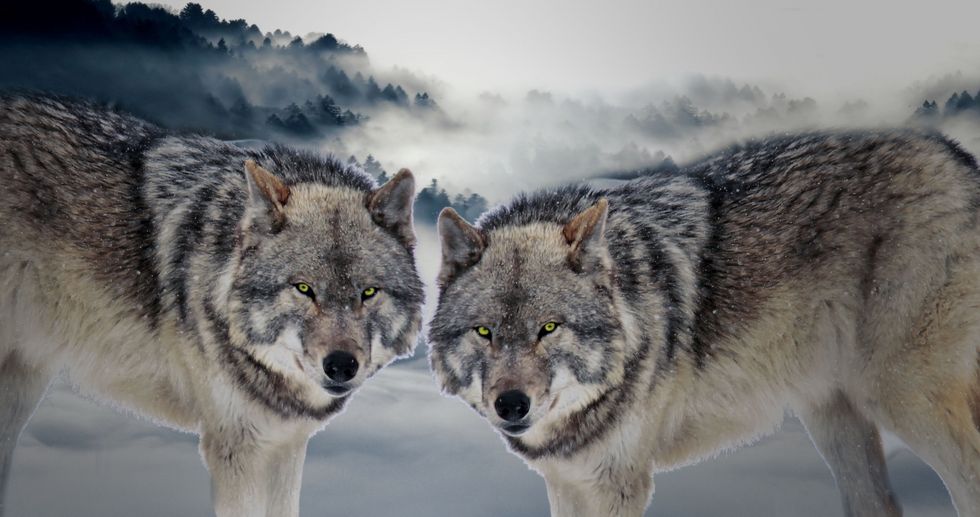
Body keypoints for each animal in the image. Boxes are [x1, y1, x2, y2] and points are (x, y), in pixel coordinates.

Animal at [429, 130, 980, 516]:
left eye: (549, 328)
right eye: (485, 332)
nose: (511, 405)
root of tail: (957, 156)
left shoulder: (616, 484)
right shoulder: (570, 483)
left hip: (899, 397)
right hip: (832, 415)